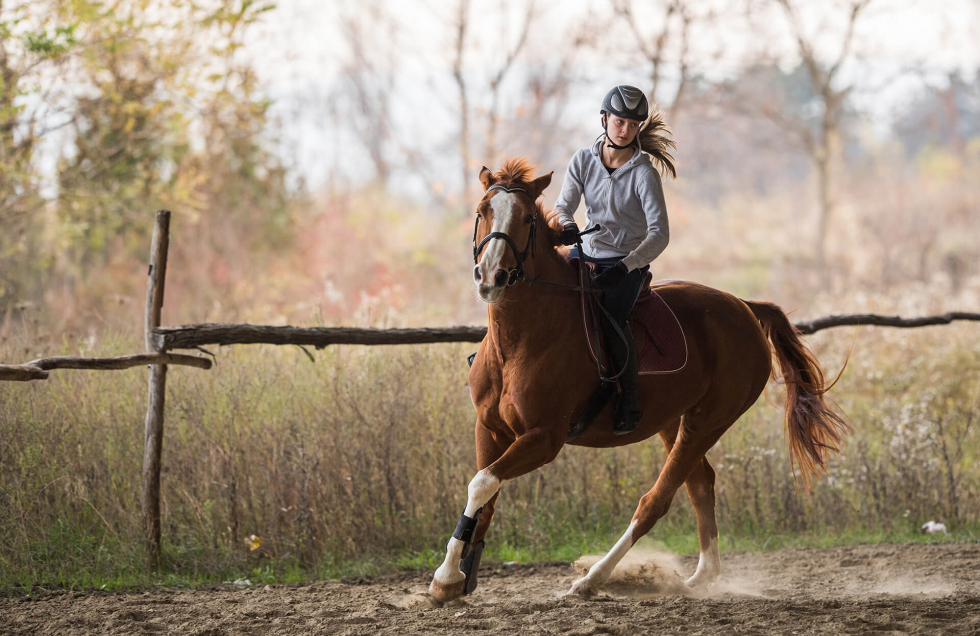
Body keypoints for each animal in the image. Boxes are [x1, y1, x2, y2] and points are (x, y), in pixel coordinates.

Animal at [428, 158, 848, 600]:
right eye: (482, 211)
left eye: (527, 219)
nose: (491, 276)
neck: (520, 339)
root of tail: (746, 307)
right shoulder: (489, 427)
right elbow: (484, 492)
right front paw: (457, 576)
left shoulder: (544, 438)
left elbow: (482, 483)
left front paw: (446, 577)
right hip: (673, 421)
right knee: (700, 484)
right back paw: (701, 576)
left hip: (708, 421)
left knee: (657, 500)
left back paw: (593, 579)